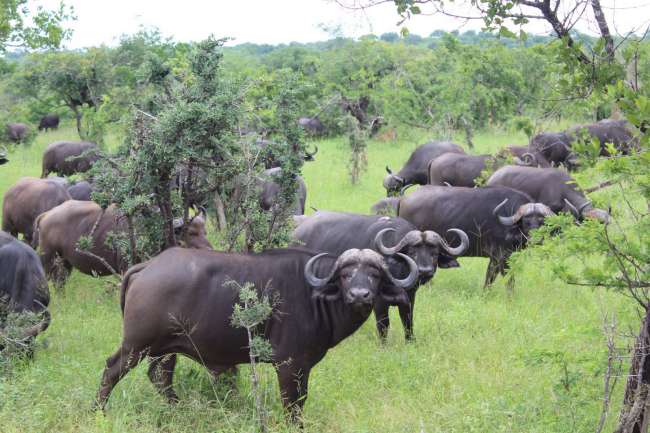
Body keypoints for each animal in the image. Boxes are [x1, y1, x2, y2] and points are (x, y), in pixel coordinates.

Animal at [34, 199, 213, 284]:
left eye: (205, 231)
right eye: (191, 232)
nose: (209, 249)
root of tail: (46, 215)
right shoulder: (125, 267)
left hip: (65, 263)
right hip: (48, 259)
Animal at [93, 246, 418, 422]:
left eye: (374, 275)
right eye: (346, 274)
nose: (360, 295)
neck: (315, 296)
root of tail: (149, 265)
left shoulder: (302, 367)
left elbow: (301, 400)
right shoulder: (289, 365)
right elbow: (292, 404)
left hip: (164, 348)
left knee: (160, 376)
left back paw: (178, 408)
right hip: (136, 345)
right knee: (111, 370)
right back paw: (99, 411)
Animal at [290, 211, 466, 340]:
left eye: (434, 253)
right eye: (412, 252)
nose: (425, 271)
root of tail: (298, 232)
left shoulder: (410, 298)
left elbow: (408, 321)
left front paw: (410, 342)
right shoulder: (379, 302)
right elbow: (383, 325)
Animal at [394, 185, 552, 286]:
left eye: (542, 221)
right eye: (526, 221)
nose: (536, 239)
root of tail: (404, 199)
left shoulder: (497, 258)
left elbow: (489, 278)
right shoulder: (501, 257)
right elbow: (507, 280)